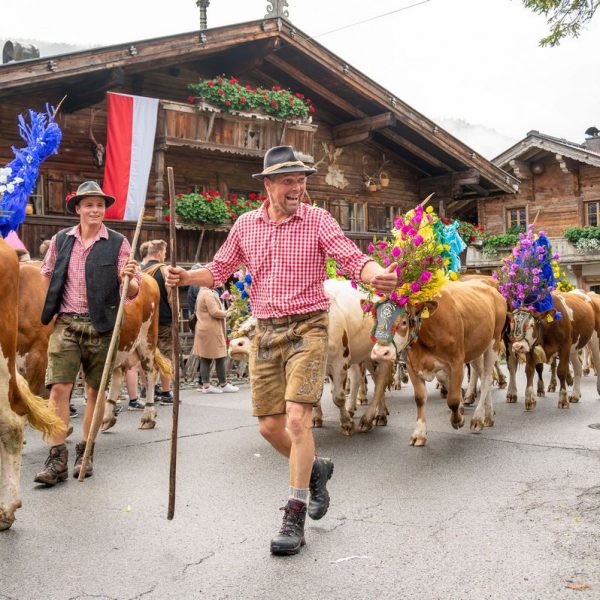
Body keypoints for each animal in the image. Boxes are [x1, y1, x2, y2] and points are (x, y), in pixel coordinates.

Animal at [370, 280, 506, 446]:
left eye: (403, 322)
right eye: (375, 318)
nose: (379, 352)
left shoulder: (456, 362)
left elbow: (453, 399)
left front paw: (458, 419)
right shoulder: (412, 365)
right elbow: (420, 398)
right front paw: (419, 433)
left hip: (494, 342)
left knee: (486, 378)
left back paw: (478, 419)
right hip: (476, 349)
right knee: (480, 373)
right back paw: (489, 415)